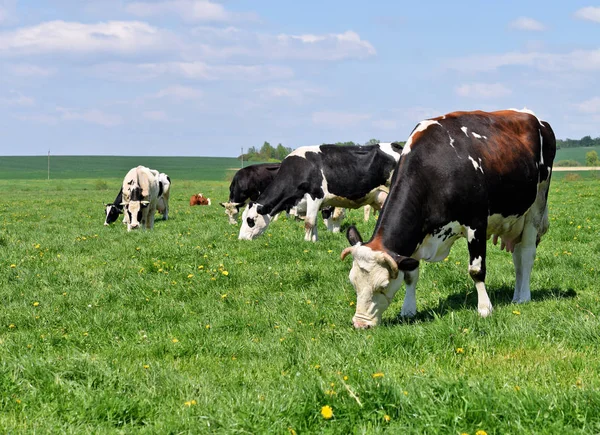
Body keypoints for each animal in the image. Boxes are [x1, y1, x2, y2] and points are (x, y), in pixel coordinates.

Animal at [237, 143, 400, 242]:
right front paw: (314, 241)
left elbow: (308, 222)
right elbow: (314, 222)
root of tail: (395, 145)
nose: (241, 238)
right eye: (243, 218)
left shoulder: (315, 195)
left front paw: (305, 242)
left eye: (250, 220)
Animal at [340, 107, 556, 328]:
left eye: (383, 285)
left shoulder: (476, 223)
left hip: (536, 206)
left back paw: (524, 296)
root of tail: (533, 117)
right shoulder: (416, 235)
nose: (360, 324)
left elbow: (476, 270)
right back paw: (516, 295)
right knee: (517, 257)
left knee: (527, 254)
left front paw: (485, 309)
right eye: (353, 281)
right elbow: (410, 275)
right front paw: (408, 310)